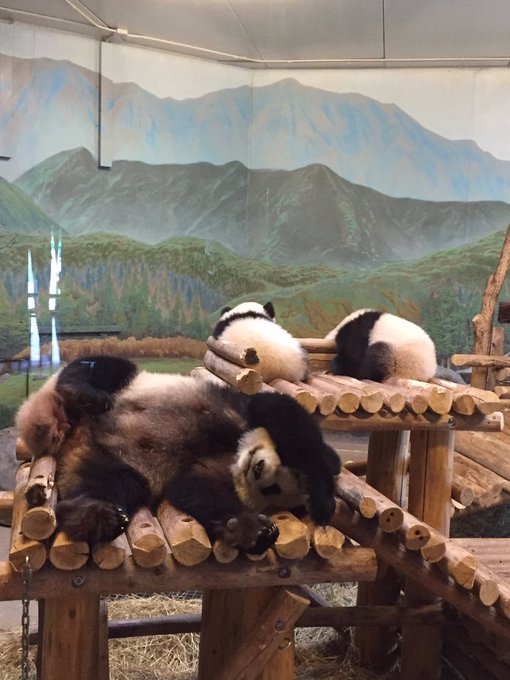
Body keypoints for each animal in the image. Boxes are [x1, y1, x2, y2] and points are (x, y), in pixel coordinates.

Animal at [15, 356, 340, 553]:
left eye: (272, 489)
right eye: (276, 475)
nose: (257, 469)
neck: (235, 452)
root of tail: (71, 433)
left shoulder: (213, 471)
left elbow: (193, 488)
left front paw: (251, 531)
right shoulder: (240, 408)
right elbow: (284, 416)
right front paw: (322, 495)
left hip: (111, 460)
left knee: (112, 481)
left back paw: (92, 515)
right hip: (129, 382)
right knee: (102, 368)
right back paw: (86, 394)